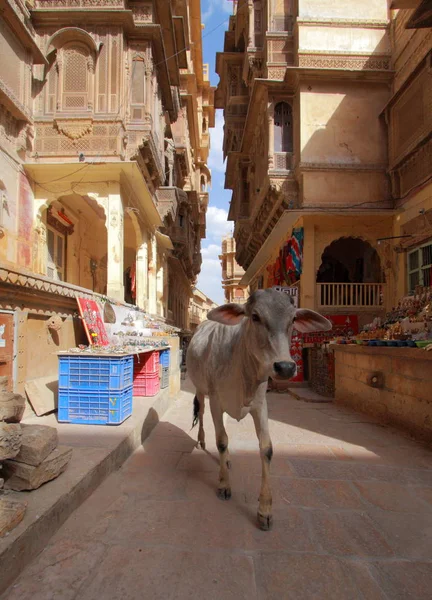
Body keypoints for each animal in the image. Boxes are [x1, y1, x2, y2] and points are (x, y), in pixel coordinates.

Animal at [186, 290, 330, 528]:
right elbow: (221, 441)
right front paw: (224, 485)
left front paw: (265, 509)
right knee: (203, 414)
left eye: (292, 319)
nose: (285, 367)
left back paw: (227, 459)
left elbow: (266, 449)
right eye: (255, 316)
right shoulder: (216, 400)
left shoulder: (260, 406)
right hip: (199, 388)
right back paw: (202, 440)